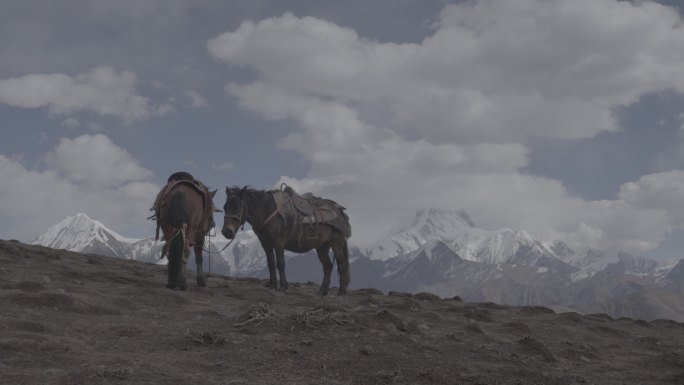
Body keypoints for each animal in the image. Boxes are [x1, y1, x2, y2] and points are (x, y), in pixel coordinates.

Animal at [222, 184, 352, 296]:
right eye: (225, 207)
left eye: (238, 206)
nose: (227, 232)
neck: (268, 210)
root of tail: (340, 210)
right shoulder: (266, 243)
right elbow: (271, 263)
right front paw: (272, 285)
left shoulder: (278, 242)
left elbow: (280, 263)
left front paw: (283, 287)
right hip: (322, 246)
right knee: (328, 266)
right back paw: (322, 291)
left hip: (337, 243)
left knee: (341, 265)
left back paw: (341, 292)